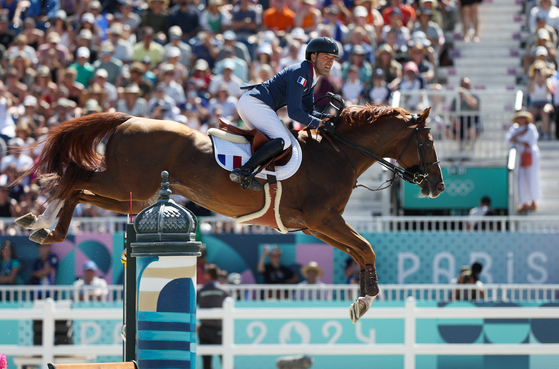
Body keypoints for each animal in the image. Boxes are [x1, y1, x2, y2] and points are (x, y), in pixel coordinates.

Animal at [14, 104, 446, 322]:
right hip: (124, 185)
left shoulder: (316, 226)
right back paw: (40, 224)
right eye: (427, 141)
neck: (339, 151)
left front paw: (363, 298)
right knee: (73, 181)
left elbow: (359, 251)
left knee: (78, 186)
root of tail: (130, 119)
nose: (437, 187)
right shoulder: (324, 219)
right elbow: (367, 246)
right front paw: (368, 298)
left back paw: (42, 227)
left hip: (128, 195)